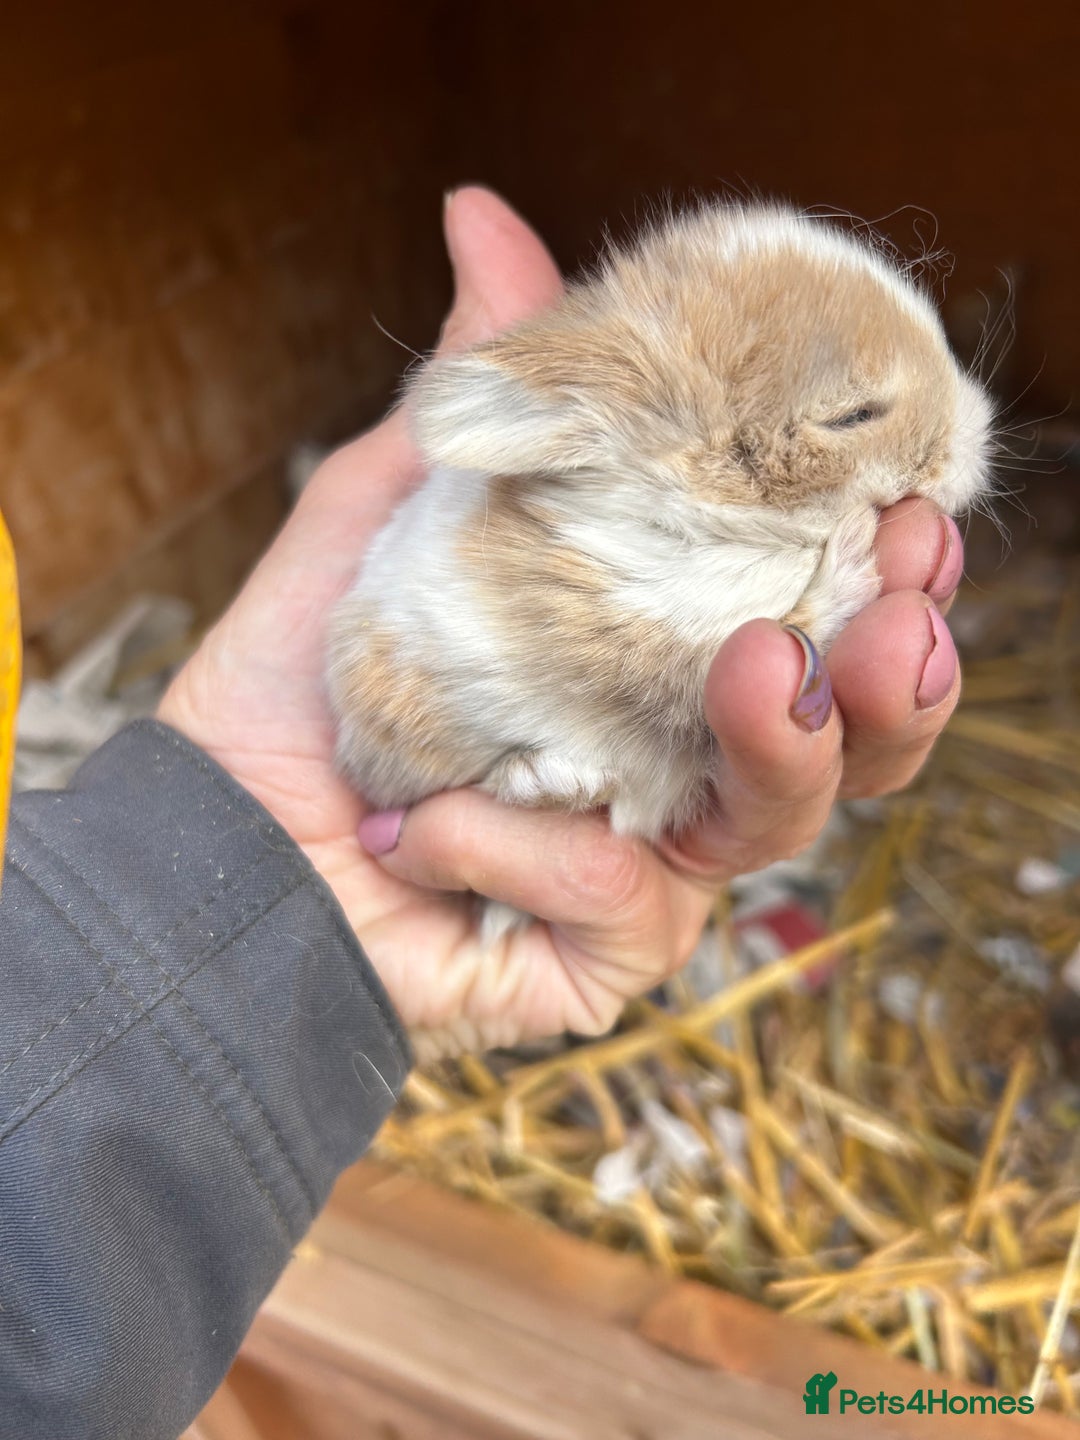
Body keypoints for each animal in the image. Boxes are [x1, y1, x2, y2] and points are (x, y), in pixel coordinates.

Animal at [326, 202, 994, 947]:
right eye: (854, 415)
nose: (982, 432)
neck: (701, 515)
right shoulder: (671, 638)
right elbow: (800, 622)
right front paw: (852, 549)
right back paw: (563, 780)